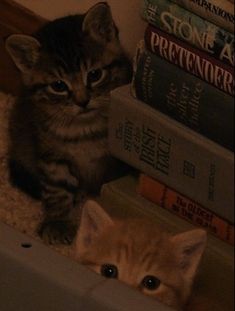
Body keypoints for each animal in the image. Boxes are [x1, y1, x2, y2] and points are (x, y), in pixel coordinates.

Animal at [5, 3, 131, 246]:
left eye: (94, 74)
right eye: (58, 86)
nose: (82, 101)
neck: (84, 128)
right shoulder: (52, 156)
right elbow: (57, 190)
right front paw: (59, 223)